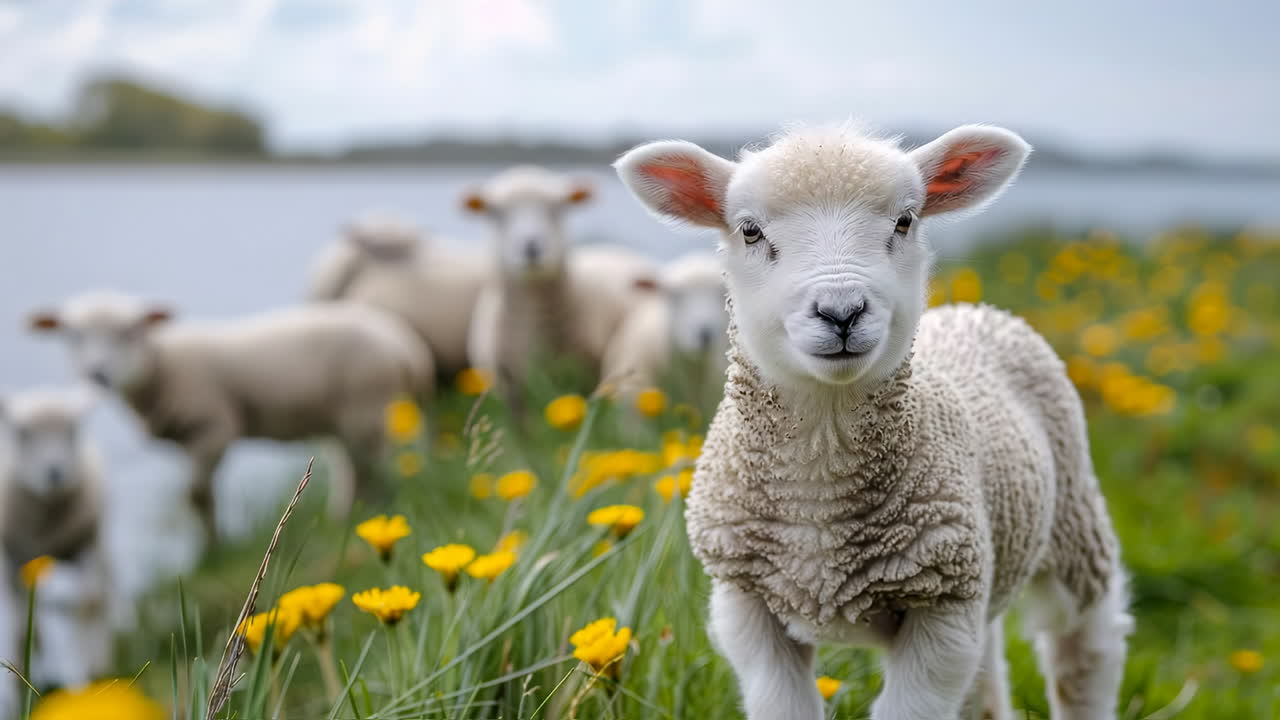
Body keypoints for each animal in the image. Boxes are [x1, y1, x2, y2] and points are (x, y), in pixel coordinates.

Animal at [0, 387, 112, 692]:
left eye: (72, 430)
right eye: (23, 432)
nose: (54, 473)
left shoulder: (86, 546)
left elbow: (89, 605)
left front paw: (91, 671)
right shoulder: (13, 560)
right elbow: (21, 627)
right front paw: (23, 675)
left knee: (103, 596)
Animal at [27, 293, 434, 541]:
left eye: (129, 332)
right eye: (72, 336)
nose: (97, 373)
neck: (163, 364)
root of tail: (408, 347)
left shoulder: (213, 428)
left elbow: (197, 496)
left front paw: (212, 549)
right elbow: (199, 497)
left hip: (367, 406)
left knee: (375, 465)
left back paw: (377, 511)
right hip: (347, 415)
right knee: (354, 465)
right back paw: (346, 516)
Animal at [616, 124, 1131, 720]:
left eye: (905, 221)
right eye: (749, 231)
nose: (841, 312)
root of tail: (974, 310)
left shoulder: (942, 606)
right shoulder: (745, 602)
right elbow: (782, 702)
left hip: (1072, 519)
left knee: (1085, 653)